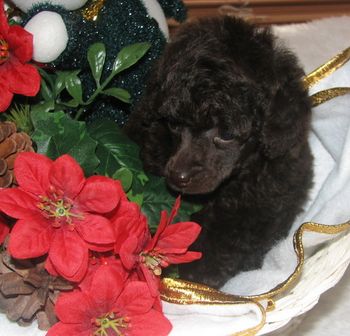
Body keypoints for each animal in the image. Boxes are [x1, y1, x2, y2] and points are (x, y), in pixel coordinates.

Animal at [126, 16, 314, 288]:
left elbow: (235, 234)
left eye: (226, 134)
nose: (178, 177)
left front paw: (200, 271)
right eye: (174, 124)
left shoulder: (272, 191)